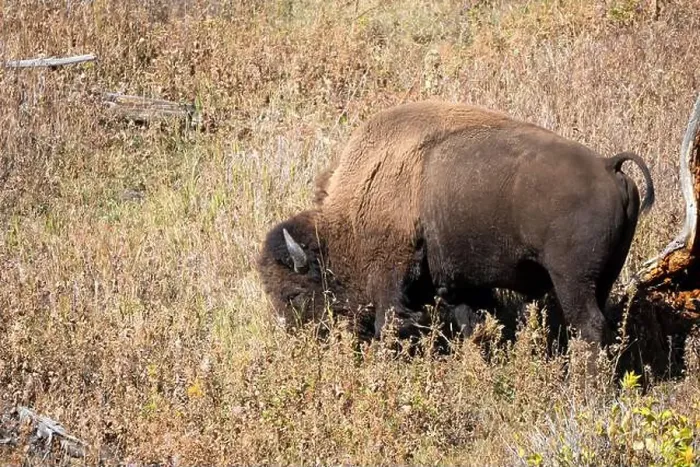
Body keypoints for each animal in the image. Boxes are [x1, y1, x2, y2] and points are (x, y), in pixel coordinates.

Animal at [257, 100, 654, 350]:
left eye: (293, 294)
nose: (300, 342)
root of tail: (607, 165)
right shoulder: (459, 284)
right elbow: (473, 322)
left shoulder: (391, 275)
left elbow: (391, 323)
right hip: (604, 276)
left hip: (572, 280)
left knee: (588, 326)